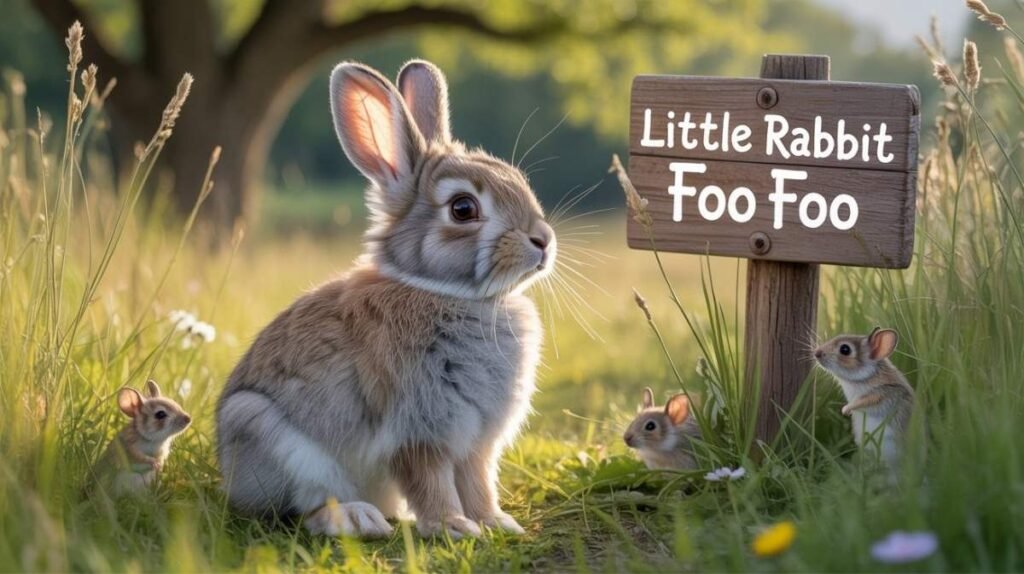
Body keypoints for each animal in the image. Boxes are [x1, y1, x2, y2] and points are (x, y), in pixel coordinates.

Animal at [215, 60, 556, 540]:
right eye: (463, 209)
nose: (543, 240)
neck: (444, 292)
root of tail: (228, 471)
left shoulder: (476, 442)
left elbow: (478, 481)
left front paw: (496, 523)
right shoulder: (418, 431)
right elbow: (431, 481)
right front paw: (453, 527)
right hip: (265, 432)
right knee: (305, 507)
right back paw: (357, 518)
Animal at [813, 327, 916, 468]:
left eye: (845, 349)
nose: (817, 353)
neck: (868, 375)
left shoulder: (883, 395)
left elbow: (865, 401)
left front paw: (846, 410)